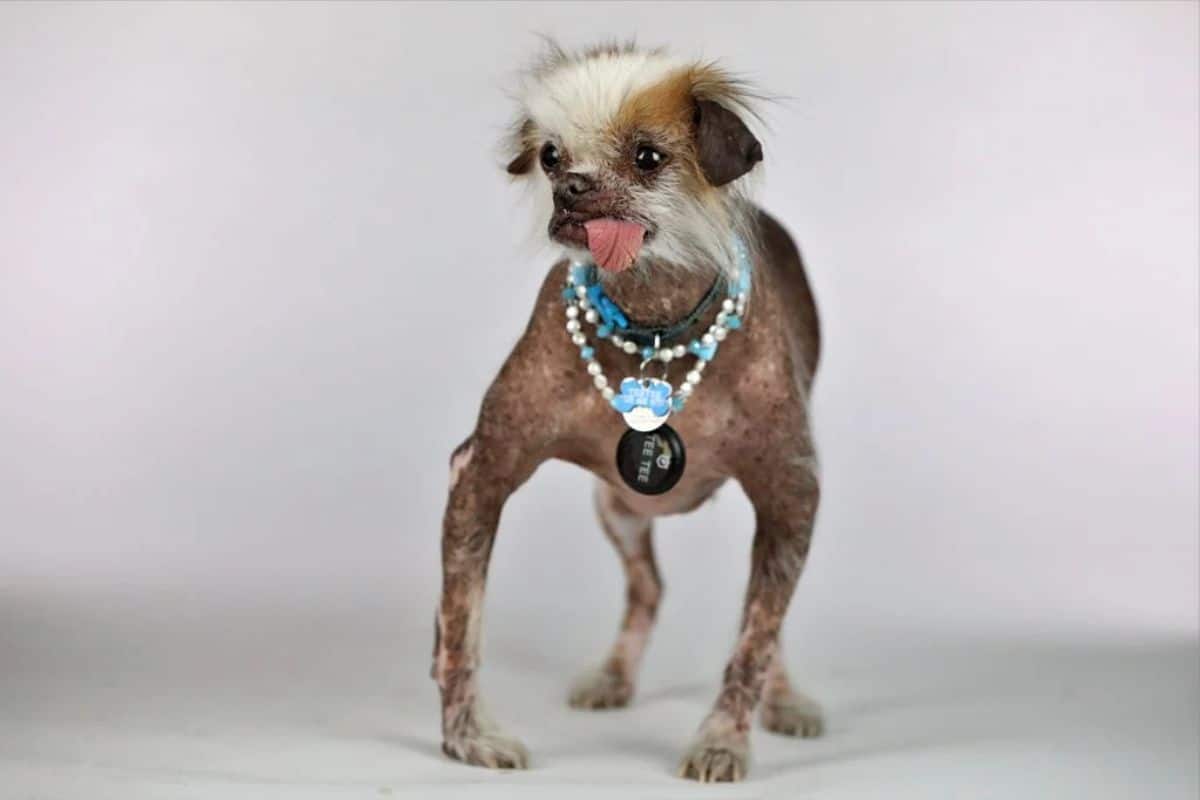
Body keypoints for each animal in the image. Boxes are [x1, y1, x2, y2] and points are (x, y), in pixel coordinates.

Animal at [434, 42, 825, 782]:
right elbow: (457, 628)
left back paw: (786, 699)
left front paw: (723, 739)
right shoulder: (481, 473)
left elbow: (754, 642)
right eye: (551, 155)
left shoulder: (792, 496)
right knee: (648, 590)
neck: (653, 330)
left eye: (648, 157)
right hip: (617, 507)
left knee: (770, 620)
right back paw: (614, 675)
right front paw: (467, 739)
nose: (570, 188)